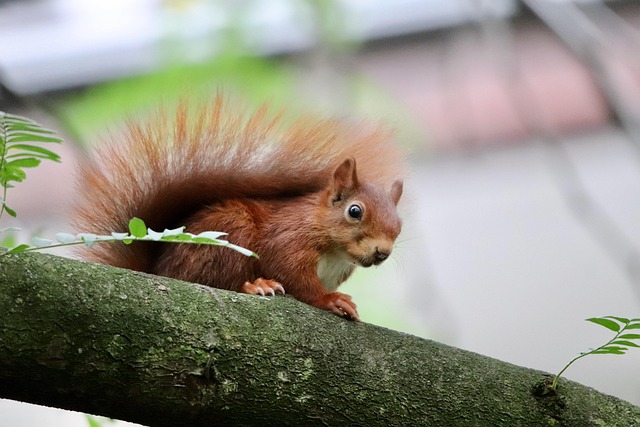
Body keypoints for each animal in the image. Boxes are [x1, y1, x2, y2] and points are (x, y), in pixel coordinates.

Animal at [72, 95, 404, 320]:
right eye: (354, 211)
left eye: (400, 226)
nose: (382, 252)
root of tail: (159, 271)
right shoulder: (287, 240)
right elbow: (295, 277)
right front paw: (329, 300)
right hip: (229, 233)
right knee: (218, 282)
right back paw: (255, 286)